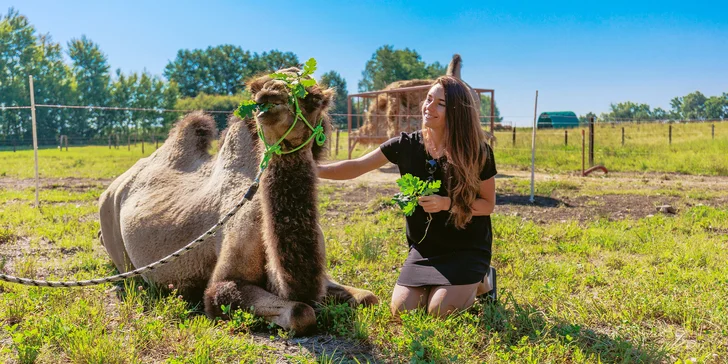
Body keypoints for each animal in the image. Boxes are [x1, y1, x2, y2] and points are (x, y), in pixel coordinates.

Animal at [99, 67, 378, 334]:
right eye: (257, 89)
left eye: (314, 98)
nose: (270, 94)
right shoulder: (224, 281)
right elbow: (301, 311)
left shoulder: (324, 278)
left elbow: (369, 298)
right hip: (112, 230)